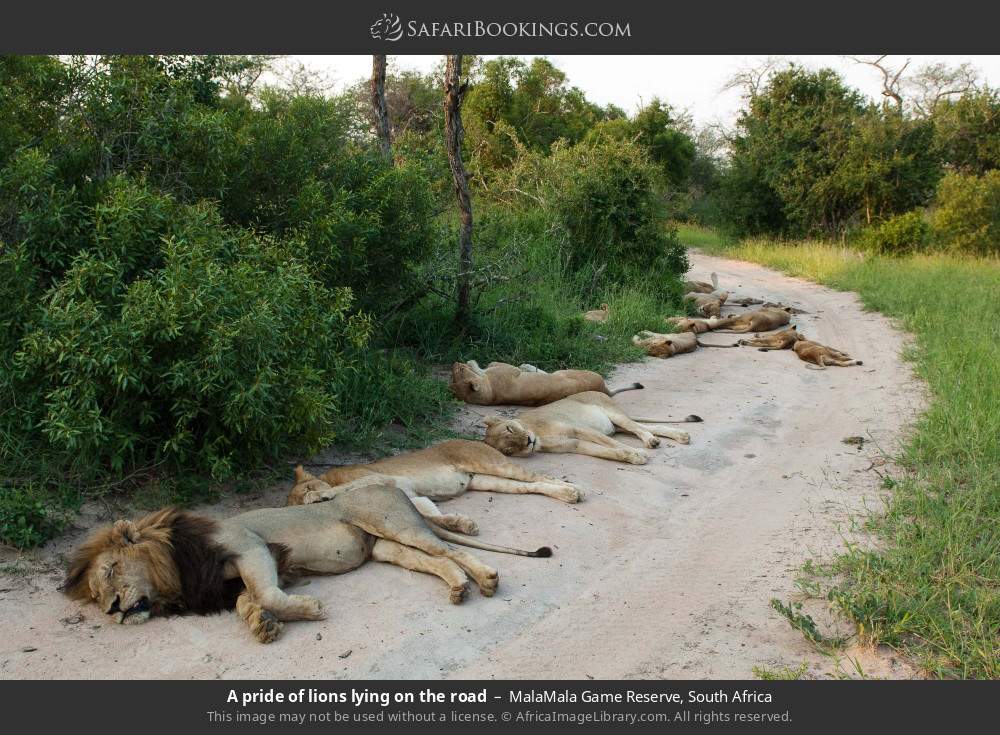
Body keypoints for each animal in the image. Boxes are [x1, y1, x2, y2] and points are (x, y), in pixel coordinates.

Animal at [62, 478, 548, 643]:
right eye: (97, 595)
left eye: (110, 571)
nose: (112, 610)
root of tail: (395, 490)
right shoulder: (239, 578)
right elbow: (249, 601)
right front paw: (262, 626)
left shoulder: (250, 545)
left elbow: (267, 593)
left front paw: (307, 610)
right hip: (384, 546)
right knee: (432, 561)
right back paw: (459, 587)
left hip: (390, 523)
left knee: (453, 550)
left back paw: (486, 580)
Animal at [286, 440, 583, 528]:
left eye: (309, 488)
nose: (310, 496)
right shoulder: (411, 495)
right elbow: (429, 514)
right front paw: (461, 524)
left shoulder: (378, 477)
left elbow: (343, 489)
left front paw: (321, 497)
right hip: (488, 481)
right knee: (532, 486)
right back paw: (567, 495)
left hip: (491, 463)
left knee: (539, 477)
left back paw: (574, 490)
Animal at [483, 391, 701, 465]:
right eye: (509, 450)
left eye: (510, 428)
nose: (528, 441)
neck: (539, 436)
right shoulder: (574, 444)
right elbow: (607, 451)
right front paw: (632, 457)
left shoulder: (579, 430)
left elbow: (611, 444)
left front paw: (637, 453)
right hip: (618, 426)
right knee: (648, 427)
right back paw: (673, 436)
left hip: (614, 415)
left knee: (639, 428)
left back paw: (658, 440)